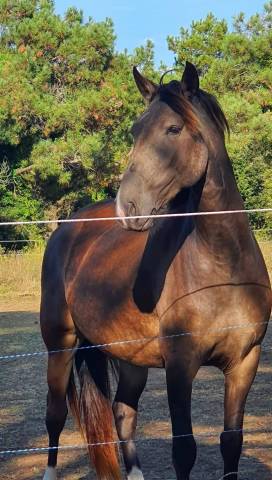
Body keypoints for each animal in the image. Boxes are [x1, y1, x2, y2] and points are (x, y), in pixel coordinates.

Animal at [39, 62, 270, 480]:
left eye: (173, 129)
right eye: (135, 130)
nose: (127, 207)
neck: (222, 266)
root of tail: (68, 227)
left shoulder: (245, 361)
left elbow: (232, 442)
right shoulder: (180, 367)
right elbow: (185, 450)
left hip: (129, 358)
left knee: (122, 414)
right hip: (60, 343)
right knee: (56, 415)